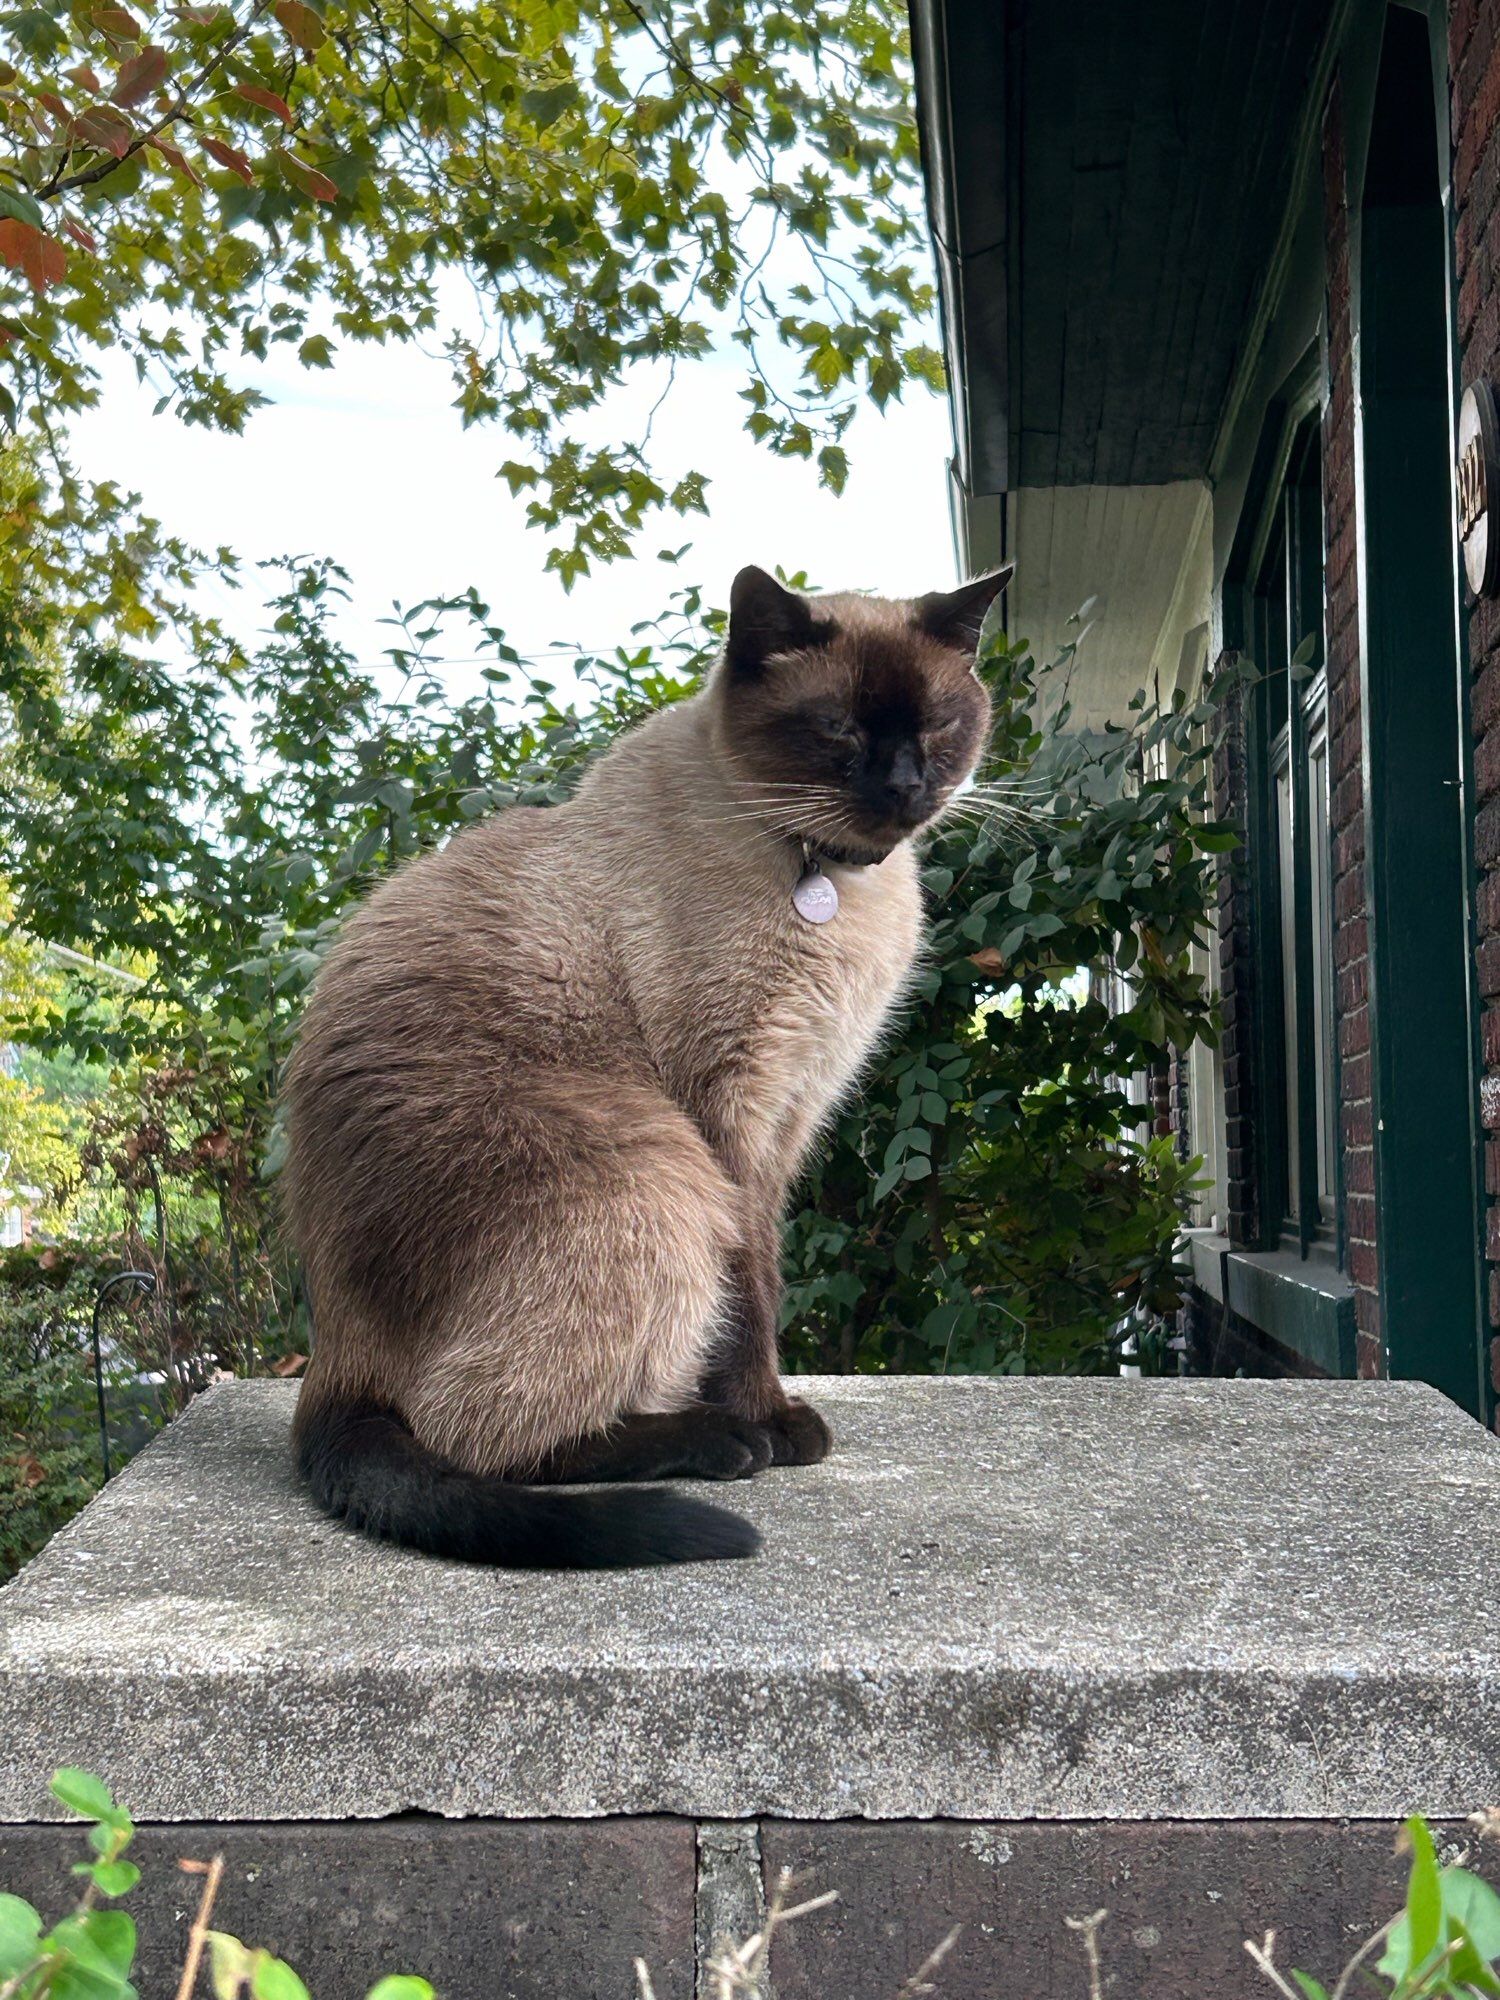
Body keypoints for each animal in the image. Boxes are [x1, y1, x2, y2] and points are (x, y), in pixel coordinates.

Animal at [282, 560, 1012, 1560]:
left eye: (939, 724)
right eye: (838, 727)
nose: (905, 786)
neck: (822, 873)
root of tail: (331, 1357)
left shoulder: (790, 1119)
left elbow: (768, 1277)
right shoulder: (729, 1113)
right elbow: (750, 1298)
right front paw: (769, 1420)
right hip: (660, 1174)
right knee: (476, 1437)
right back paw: (720, 1442)